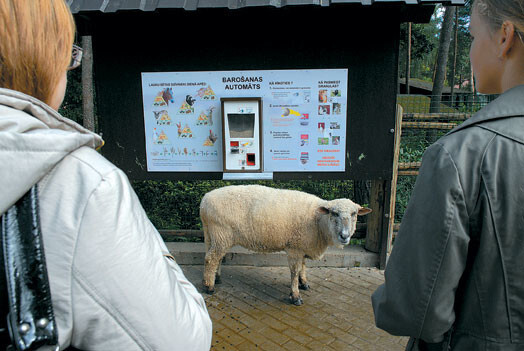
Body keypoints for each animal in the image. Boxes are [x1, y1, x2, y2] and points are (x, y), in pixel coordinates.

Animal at [198, 186, 372, 306]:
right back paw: (209, 287)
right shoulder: (294, 247)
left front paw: (304, 283)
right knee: (211, 259)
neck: (318, 221)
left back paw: (216, 278)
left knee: (216, 258)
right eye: (334, 213)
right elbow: (294, 271)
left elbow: (303, 266)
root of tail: (204, 201)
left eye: (354, 214)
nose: (345, 236)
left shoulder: (302, 245)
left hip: (213, 234)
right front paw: (295, 296)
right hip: (221, 233)